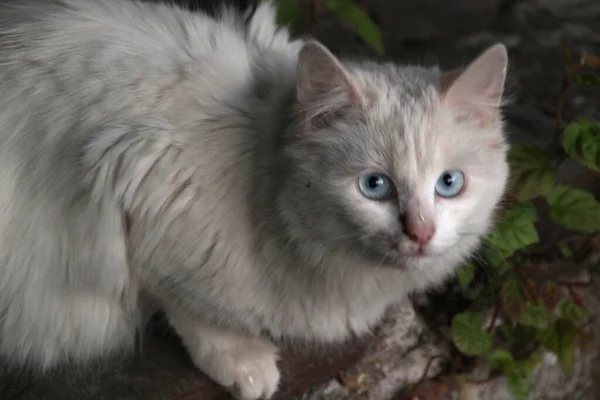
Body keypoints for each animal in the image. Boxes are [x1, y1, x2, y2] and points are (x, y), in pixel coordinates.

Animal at [0, 0, 508, 398]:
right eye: (374, 186)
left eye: (449, 183)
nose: (420, 233)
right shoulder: (139, 184)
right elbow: (190, 308)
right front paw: (245, 363)